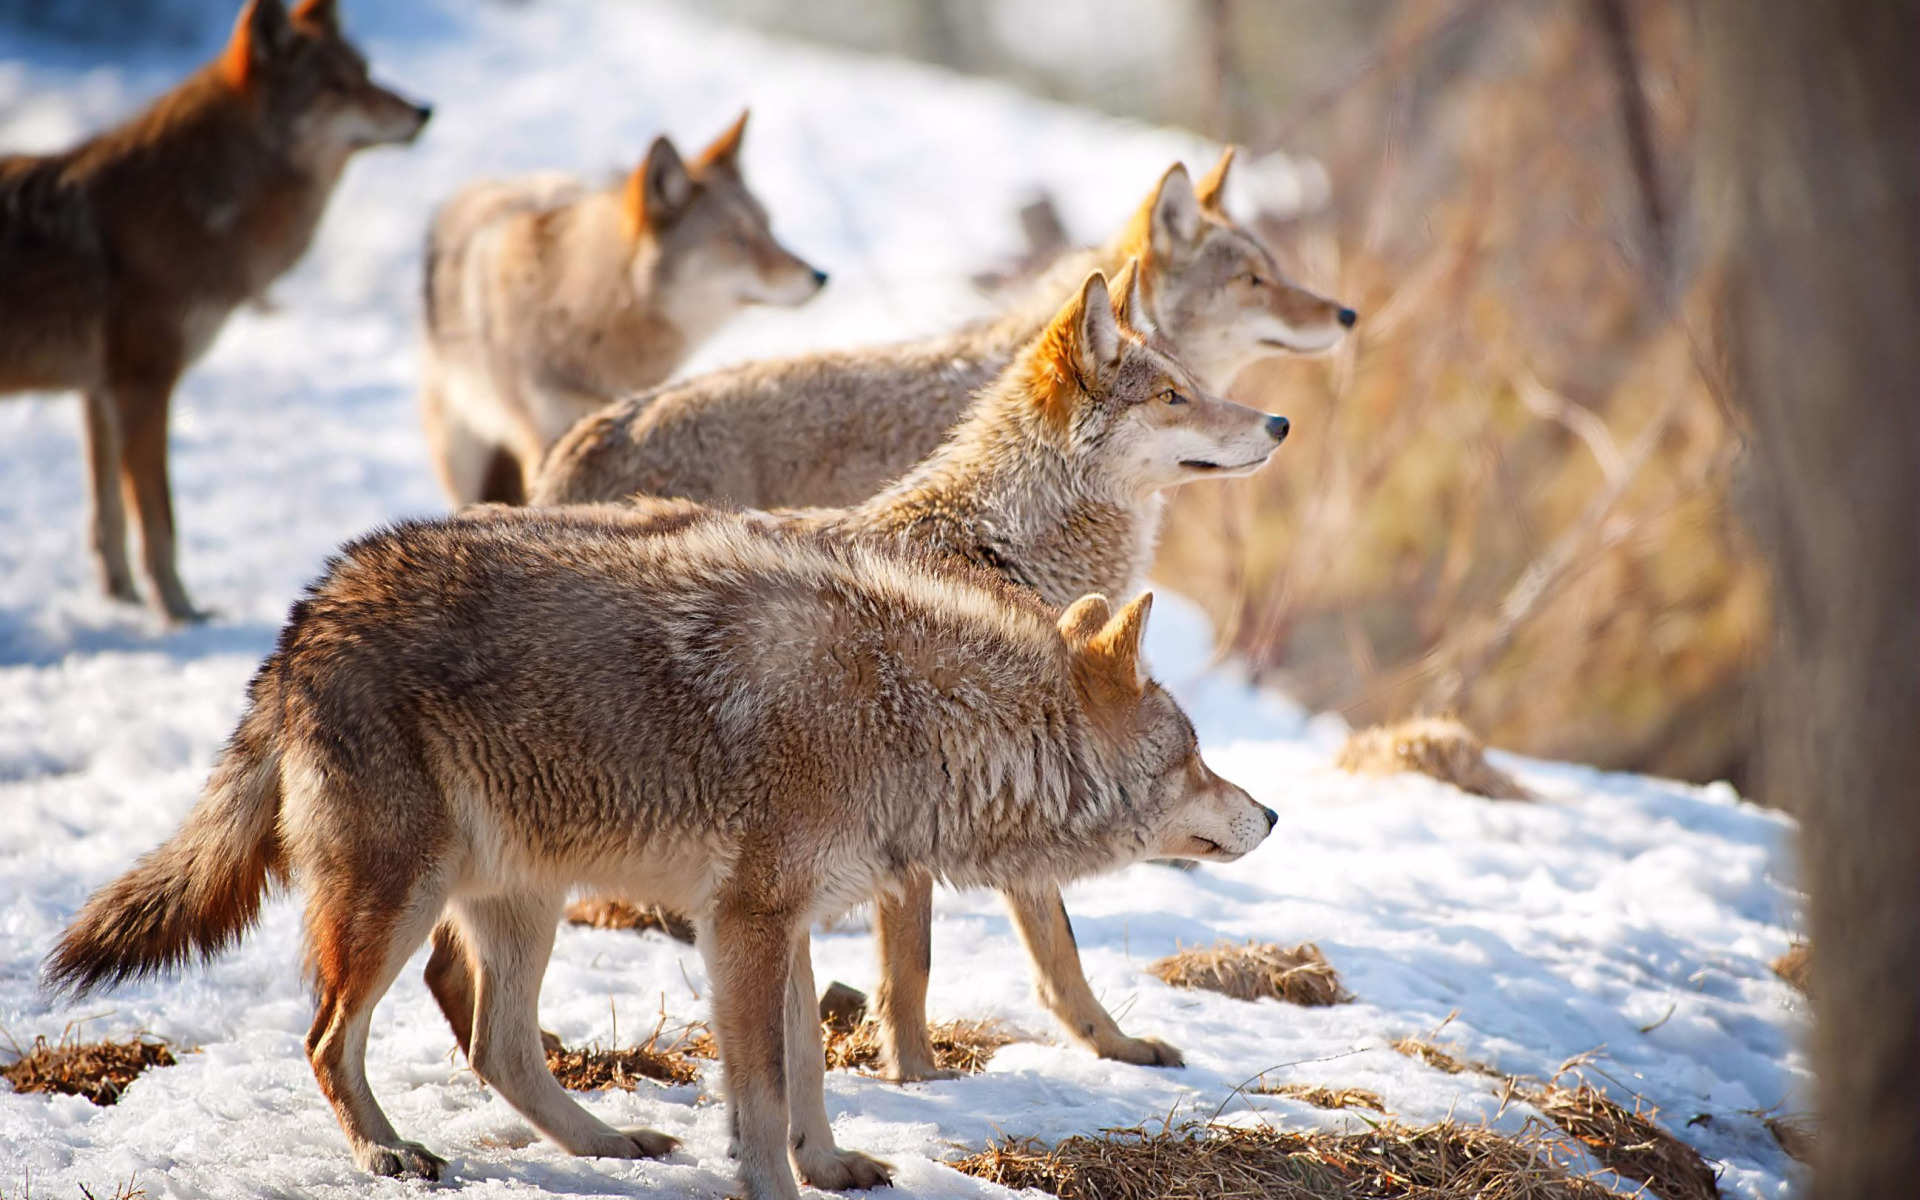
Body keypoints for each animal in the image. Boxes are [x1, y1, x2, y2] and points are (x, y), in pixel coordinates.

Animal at [0, 0, 432, 618]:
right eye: (337, 86)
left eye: (366, 74)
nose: (423, 111)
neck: (189, 205)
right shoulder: (141, 385)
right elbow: (159, 519)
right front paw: (179, 612)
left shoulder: (98, 392)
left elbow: (108, 517)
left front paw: (122, 601)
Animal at [41, 506, 1274, 1198]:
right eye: (1197, 753)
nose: (1269, 815)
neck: (908, 714)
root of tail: (304, 618)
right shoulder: (747, 924)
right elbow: (764, 1093)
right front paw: (778, 1190)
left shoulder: (782, 926)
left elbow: (809, 1074)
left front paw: (832, 1171)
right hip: (399, 902)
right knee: (327, 1040)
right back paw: (389, 1158)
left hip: (523, 902)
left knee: (498, 1047)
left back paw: (607, 1144)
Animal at [422, 266, 1290, 1082]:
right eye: (1174, 395)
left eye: (1195, 382)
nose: (1280, 423)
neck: (995, 549)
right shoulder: (927, 817)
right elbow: (916, 968)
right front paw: (917, 1076)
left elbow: (1058, 955)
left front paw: (1115, 1047)